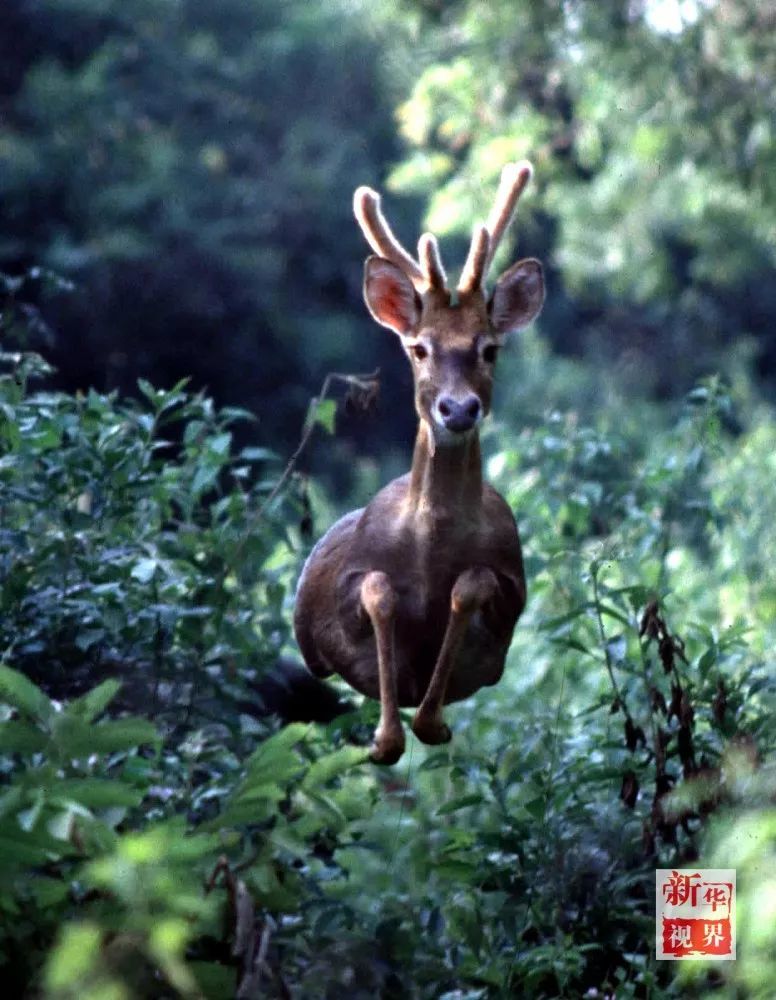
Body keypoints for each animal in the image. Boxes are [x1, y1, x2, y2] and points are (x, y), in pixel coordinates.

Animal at [292, 160, 544, 760]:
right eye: (419, 348)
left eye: (489, 348)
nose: (458, 408)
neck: (432, 551)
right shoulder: (345, 593)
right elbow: (378, 590)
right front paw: (384, 739)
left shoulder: (511, 592)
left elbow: (473, 584)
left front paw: (431, 723)